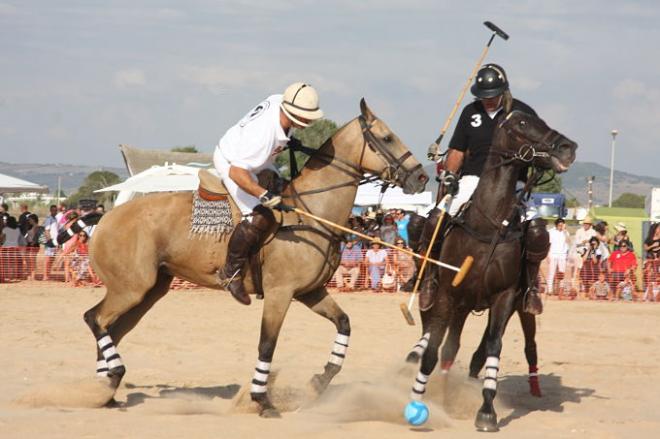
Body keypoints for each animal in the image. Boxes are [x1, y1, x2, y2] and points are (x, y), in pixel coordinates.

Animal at [72, 100, 428, 420]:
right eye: (387, 138)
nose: (422, 178)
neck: (313, 213)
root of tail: (103, 219)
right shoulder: (279, 293)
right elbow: (267, 345)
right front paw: (262, 401)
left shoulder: (311, 292)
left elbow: (344, 324)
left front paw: (318, 381)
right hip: (132, 287)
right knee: (94, 318)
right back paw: (112, 376)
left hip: (149, 290)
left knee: (111, 328)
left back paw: (104, 392)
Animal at [404, 111, 576, 434]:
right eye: (522, 124)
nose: (568, 147)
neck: (488, 223)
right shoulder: (447, 293)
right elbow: (432, 350)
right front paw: (416, 402)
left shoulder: (504, 296)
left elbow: (493, 348)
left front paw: (486, 410)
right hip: (452, 301)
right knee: (445, 344)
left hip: (512, 305)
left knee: (513, 346)